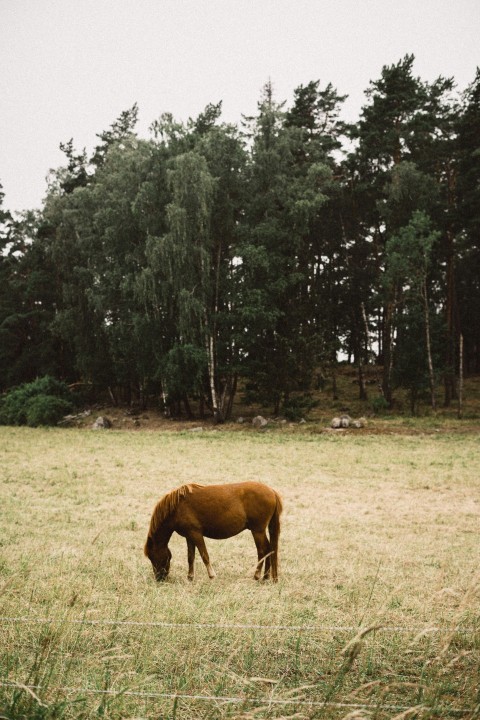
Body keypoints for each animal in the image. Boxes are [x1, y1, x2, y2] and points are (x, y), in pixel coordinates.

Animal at [144, 481, 282, 582]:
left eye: (152, 556)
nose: (159, 578)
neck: (177, 507)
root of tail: (272, 491)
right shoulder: (189, 536)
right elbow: (190, 557)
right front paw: (190, 577)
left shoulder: (196, 534)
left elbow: (204, 555)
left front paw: (212, 575)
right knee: (269, 549)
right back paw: (266, 577)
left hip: (257, 531)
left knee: (263, 551)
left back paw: (257, 576)